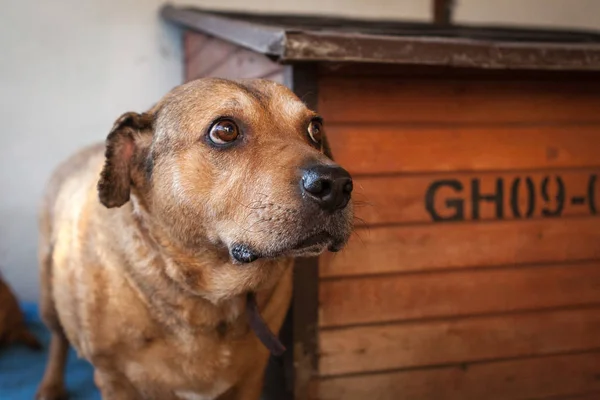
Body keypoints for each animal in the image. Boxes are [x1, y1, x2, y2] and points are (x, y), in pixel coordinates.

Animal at [35, 79, 352, 400]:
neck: (207, 297)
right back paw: (50, 386)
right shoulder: (115, 381)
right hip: (49, 298)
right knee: (57, 340)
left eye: (315, 129)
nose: (337, 185)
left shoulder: (251, 379)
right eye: (225, 130)